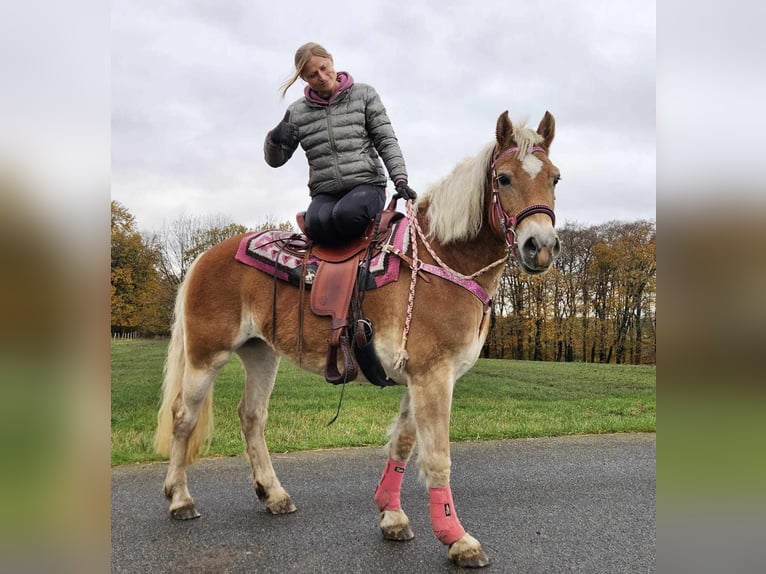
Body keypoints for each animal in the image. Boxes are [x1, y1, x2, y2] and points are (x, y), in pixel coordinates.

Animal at [154, 110, 564, 568]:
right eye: (505, 179)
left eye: (555, 178)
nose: (540, 246)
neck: (443, 261)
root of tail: (204, 258)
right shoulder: (433, 376)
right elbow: (437, 457)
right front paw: (457, 538)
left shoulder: (421, 378)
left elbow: (403, 444)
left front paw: (392, 515)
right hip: (206, 356)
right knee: (184, 417)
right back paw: (180, 499)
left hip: (261, 354)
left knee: (252, 416)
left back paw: (273, 494)